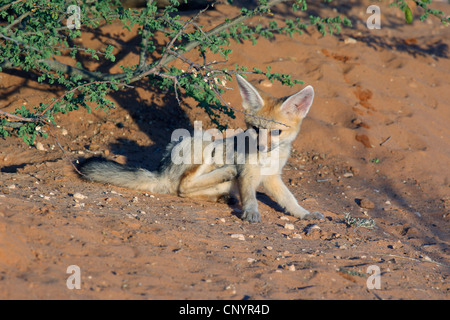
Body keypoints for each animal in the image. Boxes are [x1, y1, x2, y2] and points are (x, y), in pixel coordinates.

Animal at [78, 74, 324, 222]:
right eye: (255, 129)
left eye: (276, 132)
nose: (262, 147)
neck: (267, 160)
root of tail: (161, 171)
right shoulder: (248, 174)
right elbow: (250, 196)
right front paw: (252, 212)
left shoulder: (272, 178)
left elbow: (289, 199)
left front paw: (305, 214)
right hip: (203, 140)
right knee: (183, 186)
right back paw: (225, 173)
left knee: (183, 191)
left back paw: (221, 196)